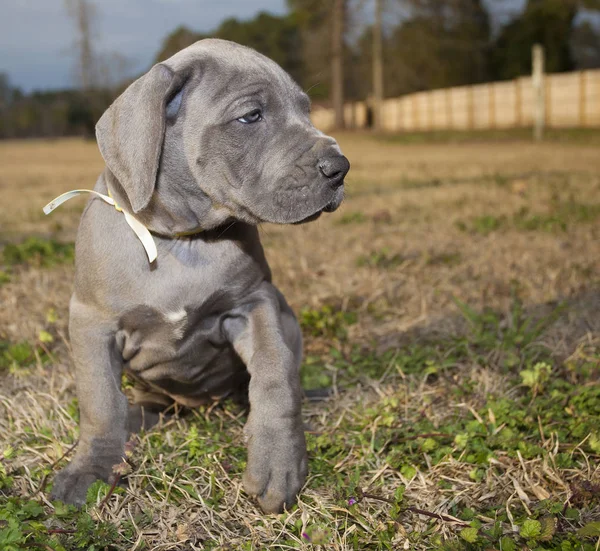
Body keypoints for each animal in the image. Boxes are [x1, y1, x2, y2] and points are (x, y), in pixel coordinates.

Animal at [50, 40, 352, 512]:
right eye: (251, 116)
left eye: (306, 110)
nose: (339, 167)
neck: (182, 241)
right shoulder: (91, 323)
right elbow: (100, 400)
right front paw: (91, 468)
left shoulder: (255, 303)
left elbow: (275, 374)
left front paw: (278, 460)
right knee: (131, 404)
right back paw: (135, 420)